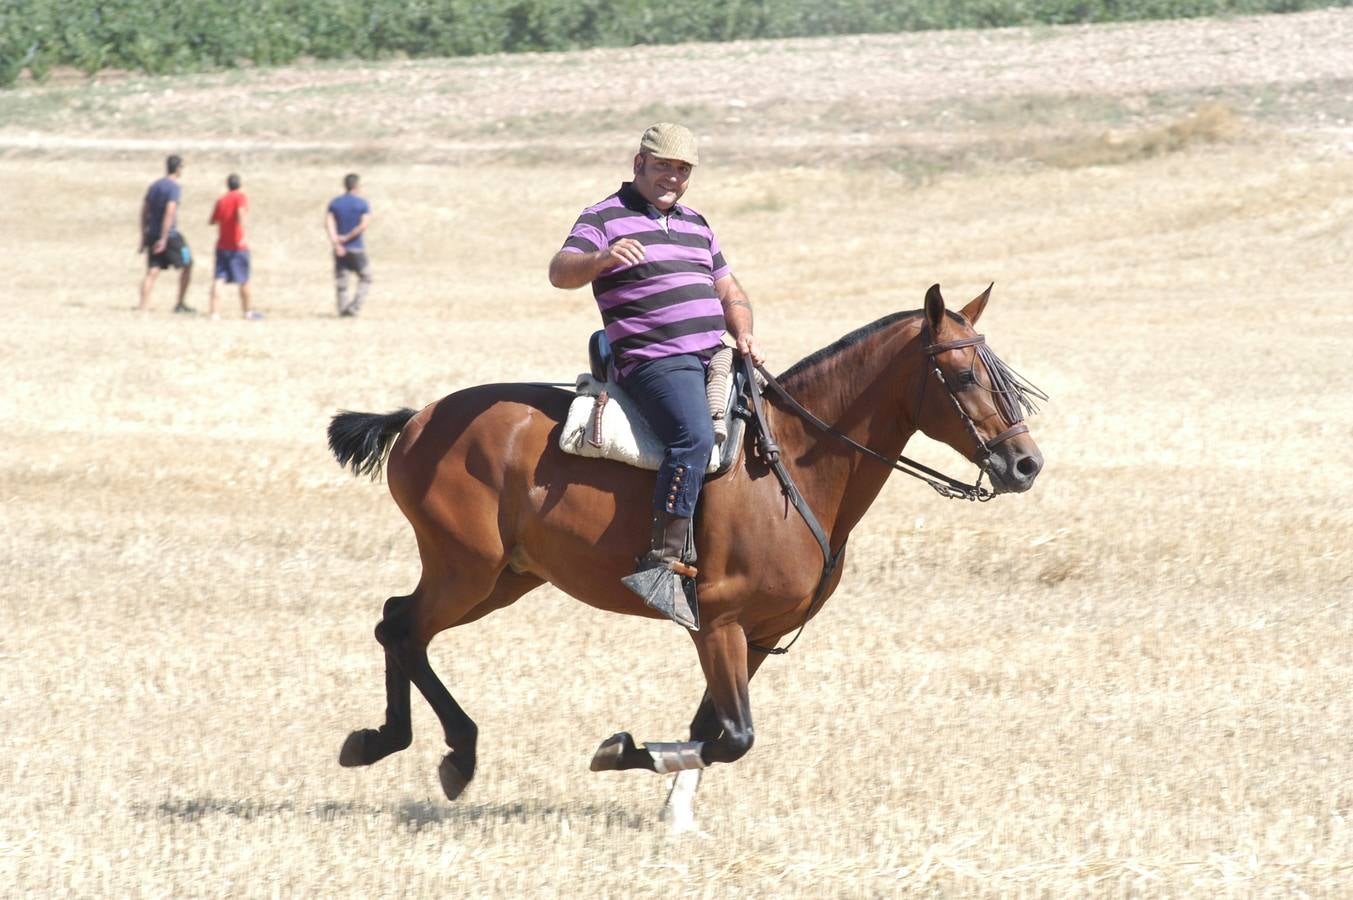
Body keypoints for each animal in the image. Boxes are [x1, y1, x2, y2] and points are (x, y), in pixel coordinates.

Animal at [327, 282, 1044, 806]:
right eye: (960, 376)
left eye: (1003, 373)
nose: (1025, 464)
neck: (794, 466)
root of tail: (417, 419)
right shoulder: (719, 624)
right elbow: (734, 735)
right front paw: (623, 752)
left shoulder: (758, 636)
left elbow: (712, 732)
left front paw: (672, 800)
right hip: (466, 570)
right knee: (401, 628)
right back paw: (451, 749)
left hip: (505, 577)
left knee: (397, 623)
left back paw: (388, 740)